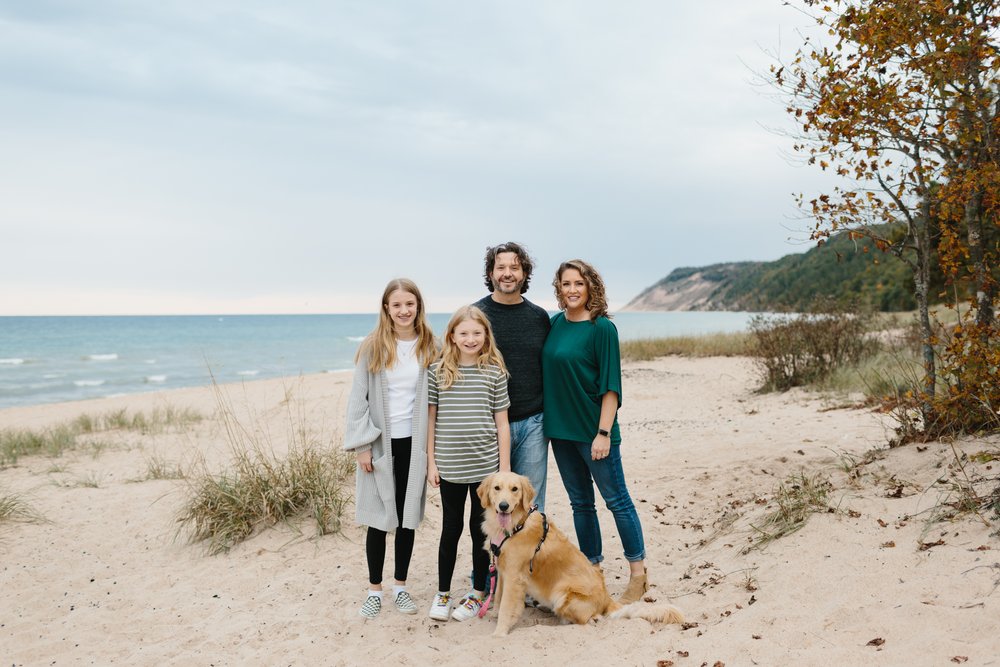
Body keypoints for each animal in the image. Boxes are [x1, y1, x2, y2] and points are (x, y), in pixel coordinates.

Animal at [478, 470, 684, 636]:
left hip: (563, 594)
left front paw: (499, 634)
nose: (503, 506)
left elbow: (506, 607)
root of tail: (607, 598)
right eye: (497, 488)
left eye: (515, 489)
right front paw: (493, 614)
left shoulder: (515, 577)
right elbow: (498, 596)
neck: (516, 525)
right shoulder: (502, 570)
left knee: (587, 618)